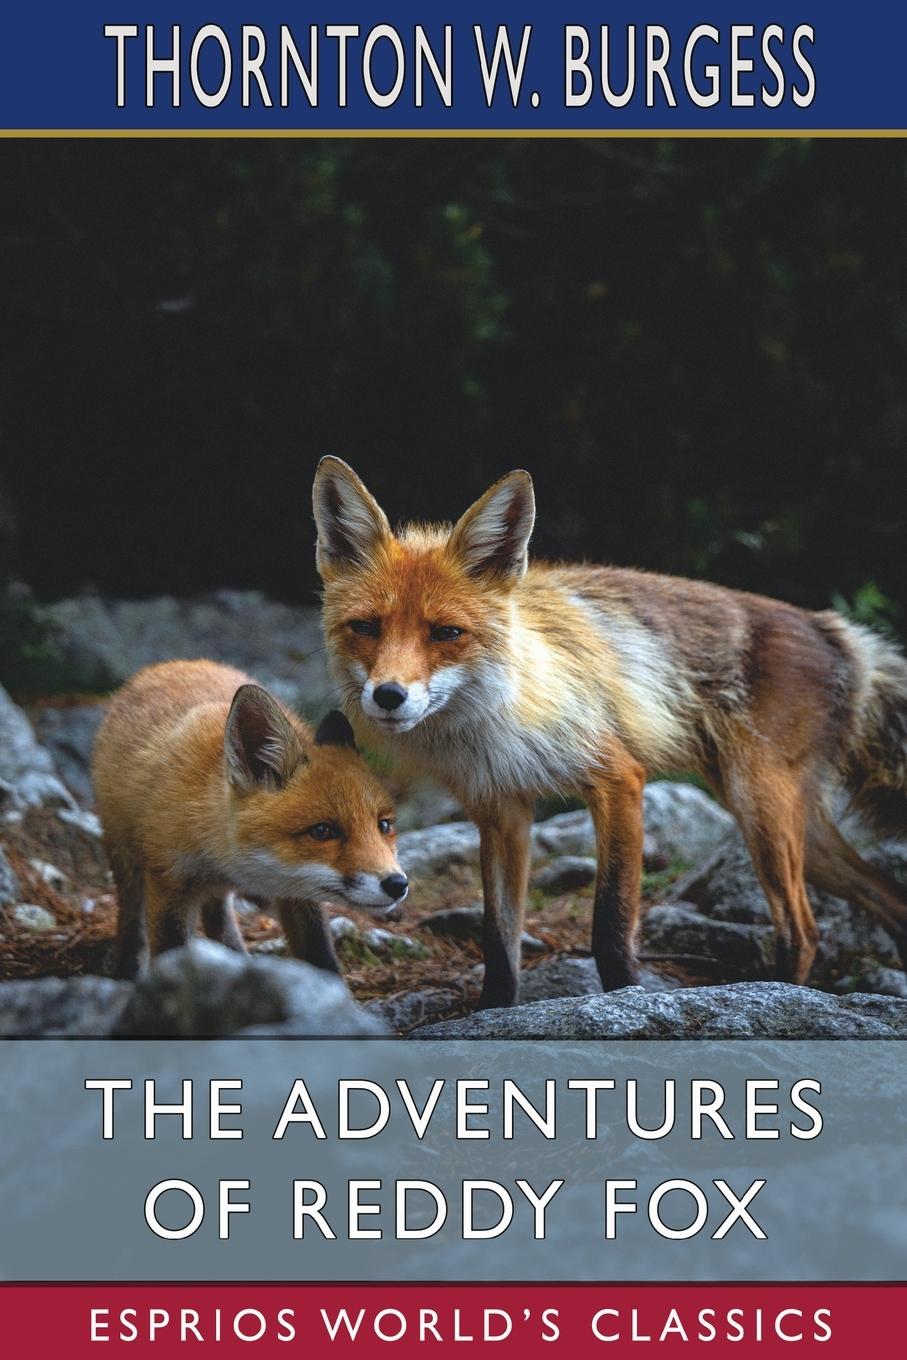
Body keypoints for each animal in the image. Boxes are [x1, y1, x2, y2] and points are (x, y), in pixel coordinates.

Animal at [92, 659, 408, 979]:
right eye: (322, 831)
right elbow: (169, 953)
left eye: (384, 825)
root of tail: (167, 665)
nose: (397, 884)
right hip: (125, 857)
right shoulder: (169, 882)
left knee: (218, 917)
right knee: (132, 918)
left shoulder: (299, 895)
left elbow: (321, 955)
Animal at [312, 455, 907, 1009]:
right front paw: (492, 1011)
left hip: (759, 806)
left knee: (803, 931)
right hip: (794, 828)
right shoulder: (501, 810)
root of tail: (831, 627)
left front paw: (627, 999)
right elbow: (499, 939)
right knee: (889, 900)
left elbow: (611, 927)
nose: (389, 695)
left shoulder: (619, 779)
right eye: (366, 627)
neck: (492, 722)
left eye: (446, 633)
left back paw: (779, 992)